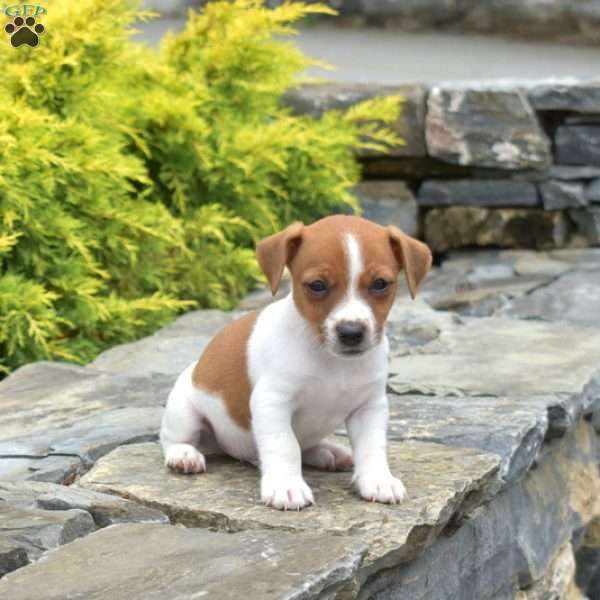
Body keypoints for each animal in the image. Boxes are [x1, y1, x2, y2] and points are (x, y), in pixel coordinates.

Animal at [159, 213, 432, 508]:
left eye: (380, 284)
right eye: (317, 286)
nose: (351, 332)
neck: (332, 361)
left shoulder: (369, 407)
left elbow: (372, 447)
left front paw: (378, 480)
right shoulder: (272, 402)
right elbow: (284, 445)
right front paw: (285, 486)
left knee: (308, 446)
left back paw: (328, 451)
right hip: (184, 411)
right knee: (171, 438)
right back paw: (184, 455)